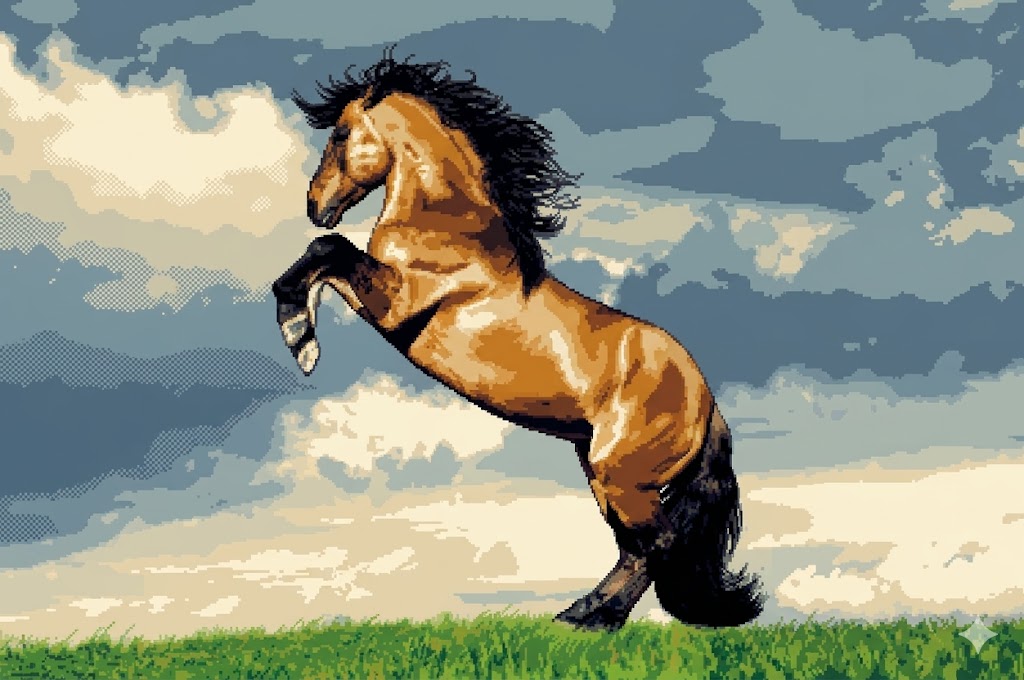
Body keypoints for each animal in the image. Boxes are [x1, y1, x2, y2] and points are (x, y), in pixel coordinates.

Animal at [272, 52, 765, 632]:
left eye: (341, 134)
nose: (315, 204)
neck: (449, 223)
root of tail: (706, 402)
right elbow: (325, 261)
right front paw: (302, 329)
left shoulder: (397, 302)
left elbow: (329, 250)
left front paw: (299, 337)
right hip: (605, 476)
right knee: (634, 549)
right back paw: (578, 615)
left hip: (623, 477)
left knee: (655, 546)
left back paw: (595, 620)